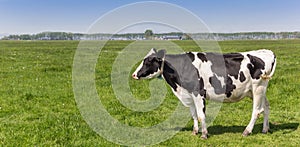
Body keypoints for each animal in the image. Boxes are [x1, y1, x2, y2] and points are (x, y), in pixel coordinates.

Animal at [131, 48, 276, 139]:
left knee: (256, 111)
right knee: (266, 106)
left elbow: (201, 115)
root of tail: (266, 52)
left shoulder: (198, 93)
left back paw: (247, 131)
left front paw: (204, 134)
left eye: (148, 62)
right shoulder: (189, 94)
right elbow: (194, 115)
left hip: (258, 88)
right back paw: (265, 129)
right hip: (255, 90)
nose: (134, 74)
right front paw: (195, 131)